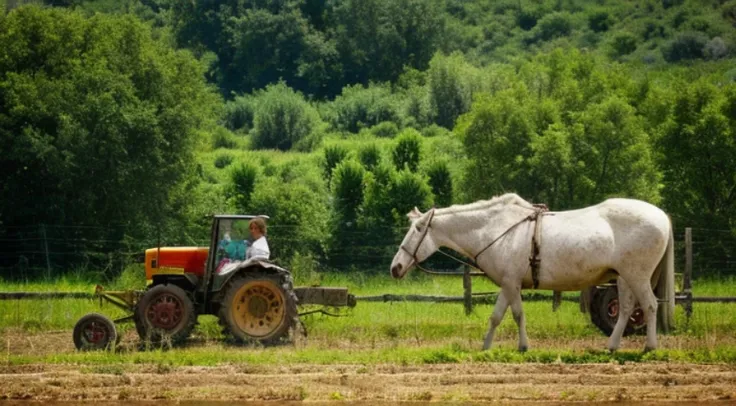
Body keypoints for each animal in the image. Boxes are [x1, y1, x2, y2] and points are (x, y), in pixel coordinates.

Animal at [392, 193, 672, 352]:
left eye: (418, 229)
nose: (396, 267)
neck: (497, 229)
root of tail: (663, 217)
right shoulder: (507, 285)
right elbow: (496, 317)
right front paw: (485, 347)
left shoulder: (512, 284)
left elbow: (517, 315)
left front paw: (523, 347)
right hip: (624, 278)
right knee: (626, 309)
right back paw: (612, 346)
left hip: (637, 276)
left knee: (649, 306)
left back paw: (649, 347)